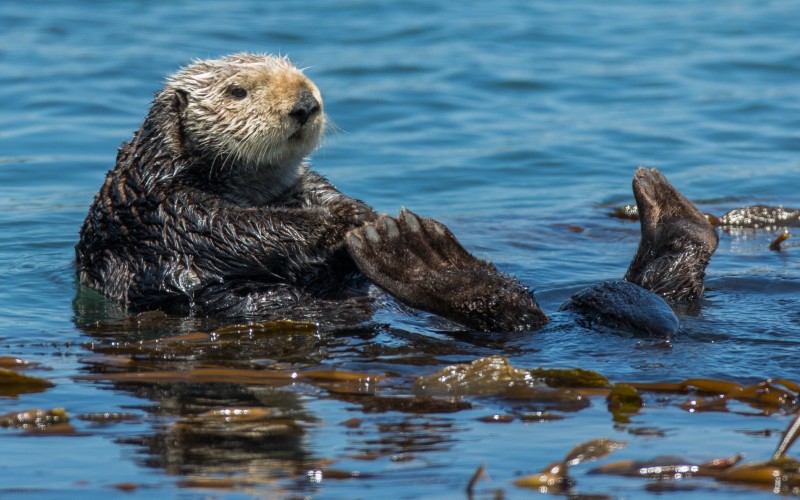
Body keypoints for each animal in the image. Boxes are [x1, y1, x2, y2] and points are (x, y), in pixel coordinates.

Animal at [76, 52, 720, 334]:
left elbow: (318, 195)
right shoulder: (164, 207)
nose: (305, 104)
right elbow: (233, 229)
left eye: (303, 76)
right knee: (513, 313)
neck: (252, 185)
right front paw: (342, 225)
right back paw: (420, 257)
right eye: (238, 91)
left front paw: (355, 212)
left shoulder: (299, 183)